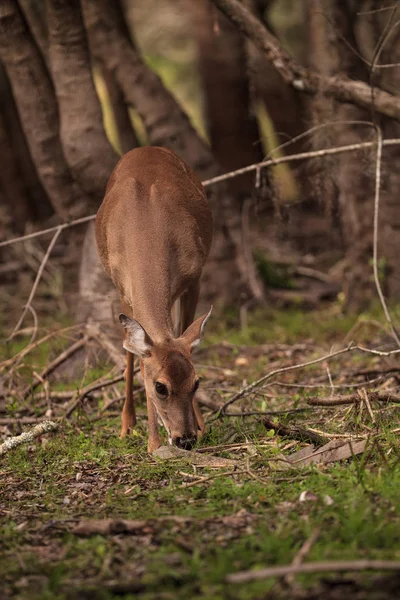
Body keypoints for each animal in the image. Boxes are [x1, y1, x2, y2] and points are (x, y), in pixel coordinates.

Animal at [94, 148, 212, 452]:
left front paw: (201, 426)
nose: (185, 439)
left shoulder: (194, 278)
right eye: (160, 387)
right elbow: (134, 359)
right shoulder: (123, 288)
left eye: (196, 383)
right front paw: (144, 437)